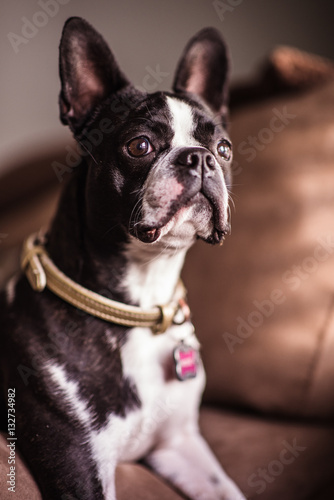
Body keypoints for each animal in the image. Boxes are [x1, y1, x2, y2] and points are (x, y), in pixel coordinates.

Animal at [0, 16, 245, 500]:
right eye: (140, 146)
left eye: (224, 149)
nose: (200, 158)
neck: (141, 307)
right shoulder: (81, 468)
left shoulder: (180, 444)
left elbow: (228, 490)